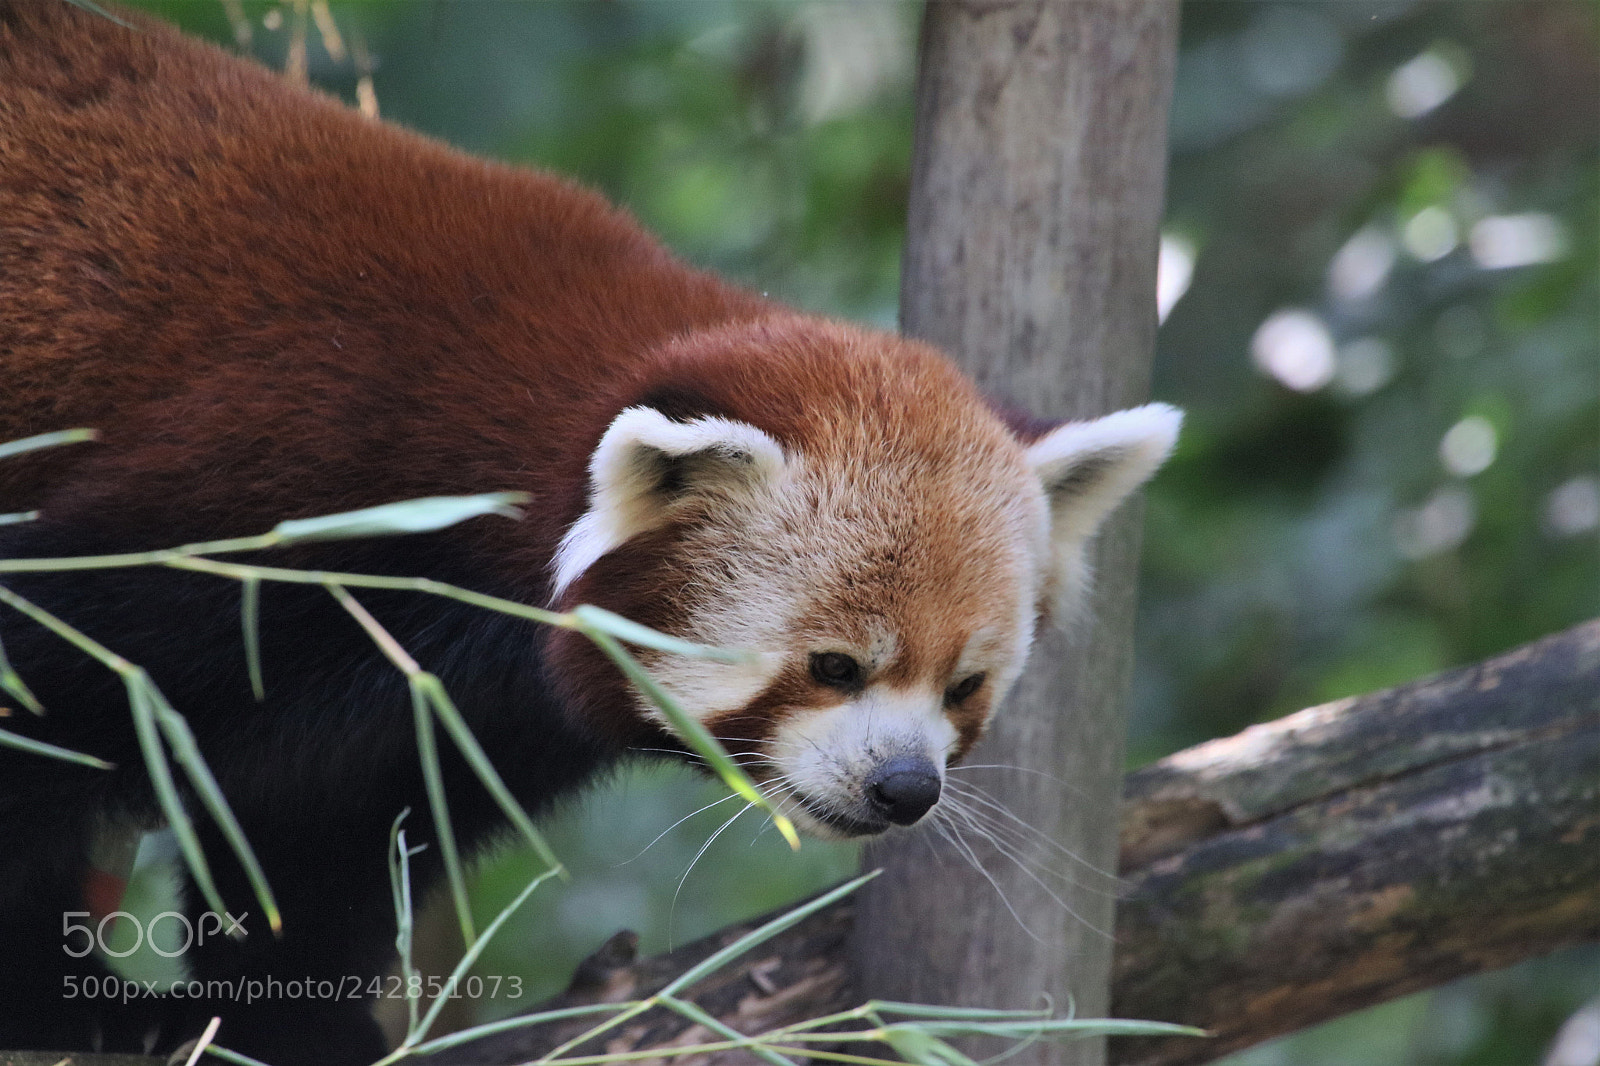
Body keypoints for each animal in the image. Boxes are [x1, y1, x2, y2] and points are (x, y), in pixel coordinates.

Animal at [0, 3, 1180, 1063]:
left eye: (964, 686)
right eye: (834, 666)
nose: (905, 788)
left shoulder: (445, 700)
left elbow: (320, 832)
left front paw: (290, 1019)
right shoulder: (249, 508)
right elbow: (47, 708)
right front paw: (65, 1002)